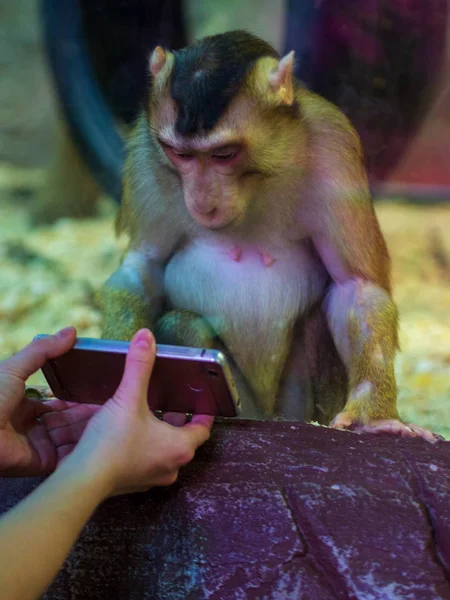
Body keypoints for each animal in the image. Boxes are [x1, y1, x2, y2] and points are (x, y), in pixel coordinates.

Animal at [98, 29, 440, 440]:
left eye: (224, 154)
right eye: (179, 154)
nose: (201, 200)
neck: (259, 178)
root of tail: (264, 415)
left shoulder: (333, 143)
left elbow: (355, 285)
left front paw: (374, 416)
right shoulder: (146, 152)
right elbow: (142, 267)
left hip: (289, 407)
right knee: (184, 324)